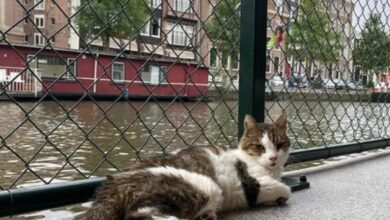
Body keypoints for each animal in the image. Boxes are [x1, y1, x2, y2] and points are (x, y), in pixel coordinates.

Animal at [75, 112, 290, 219]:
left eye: (279, 145)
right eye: (259, 147)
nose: (273, 158)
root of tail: (111, 186)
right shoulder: (250, 183)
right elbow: (283, 189)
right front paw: (282, 194)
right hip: (203, 187)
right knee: (139, 215)